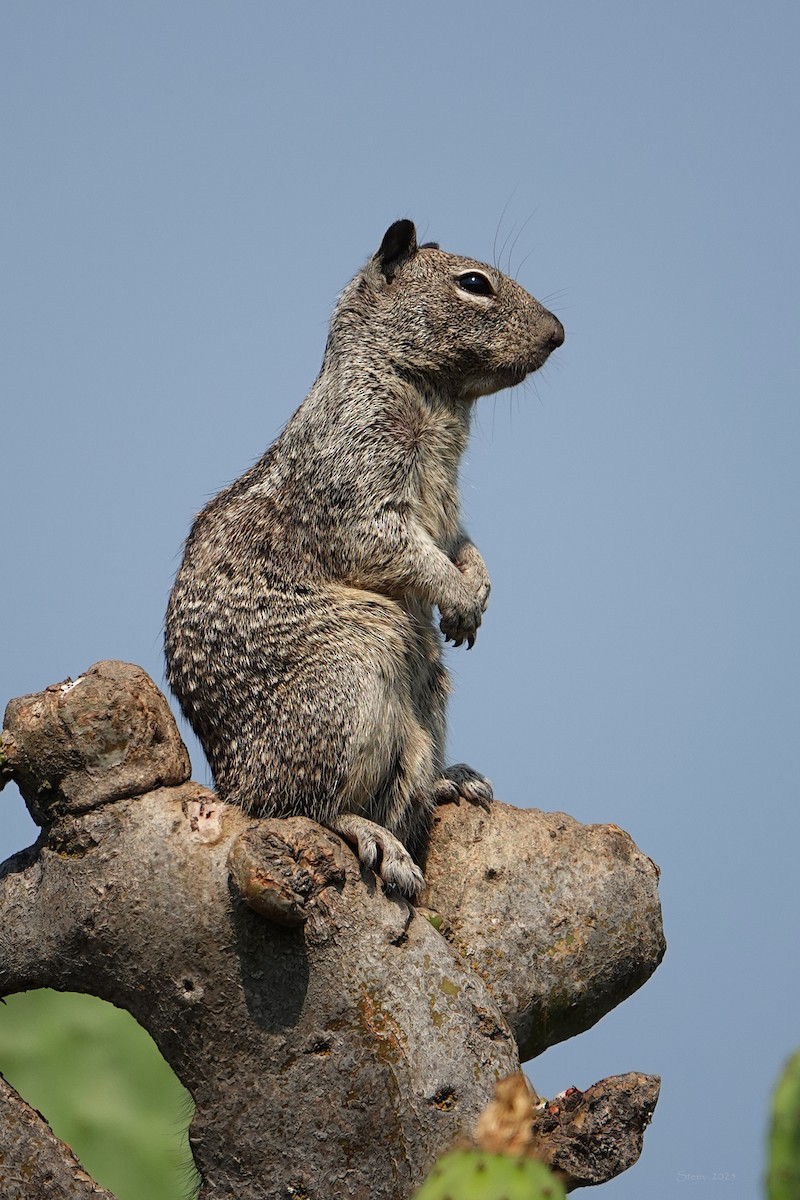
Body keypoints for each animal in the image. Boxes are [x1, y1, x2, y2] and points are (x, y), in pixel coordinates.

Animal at [165, 219, 563, 897]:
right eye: (474, 283)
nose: (559, 332)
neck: (432, 397)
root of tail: (229, 783)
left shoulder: (447, 512)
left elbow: (462, 545)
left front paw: (476, 591)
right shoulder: (358, 484)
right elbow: (397, 547)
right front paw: (459, 595)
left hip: (426, 695)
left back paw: (450, 781)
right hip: (348, 678)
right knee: (299, 806)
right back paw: (374, 837)